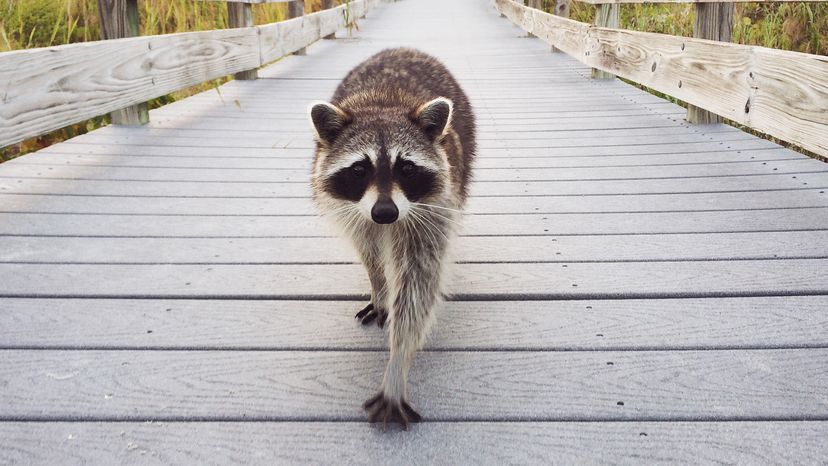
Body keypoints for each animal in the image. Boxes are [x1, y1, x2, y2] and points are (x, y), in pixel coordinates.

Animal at [308, 49, 476, 428]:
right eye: (359, 169)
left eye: (407, 168)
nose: (385, 213)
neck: (383, 105)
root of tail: (403, 49)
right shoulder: (355, 212)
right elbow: (368, 252)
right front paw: (379, 286)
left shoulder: (429, 212)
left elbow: (419, 282)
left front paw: (398, 362)